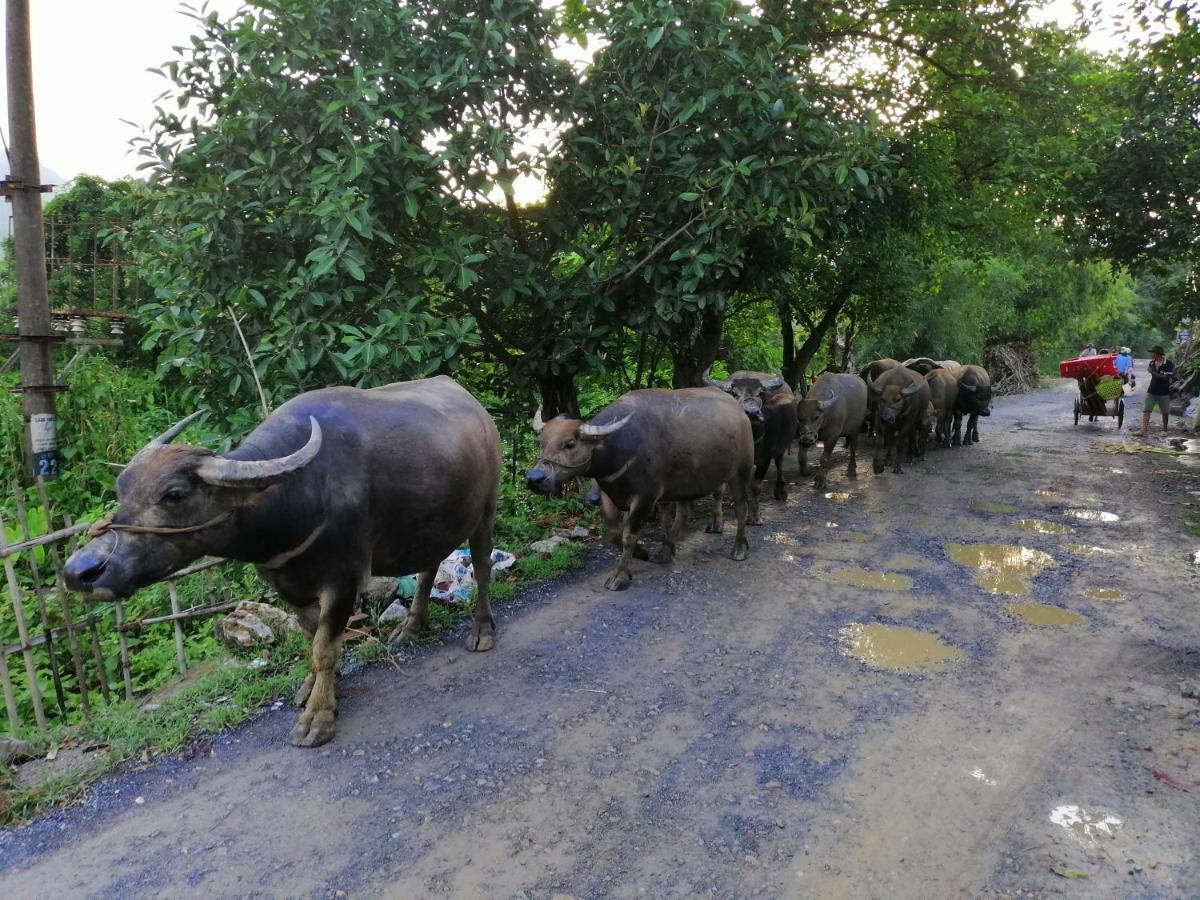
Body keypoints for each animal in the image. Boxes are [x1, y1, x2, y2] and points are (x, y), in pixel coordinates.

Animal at [65, 376, 499, 748]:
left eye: (174, 495)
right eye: (122, 488)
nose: (79, 572)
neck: (295, 496)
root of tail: (476, 407)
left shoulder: (344, 579)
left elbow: (325, 647)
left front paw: (317, 718)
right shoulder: (284, 582)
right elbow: (311, 639)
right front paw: (313, 689)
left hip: (486, 509)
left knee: (480, 565)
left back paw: (482, 631)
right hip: (432, 524)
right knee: (428, 568)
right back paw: (411, 627)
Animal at [525, 388, 748, 592]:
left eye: (570, 444)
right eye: (541, 442)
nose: (534, 479)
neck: (618, 449)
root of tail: (739, 410)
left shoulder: (645, 498)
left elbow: (629, 535)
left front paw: (620, 575)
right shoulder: (609, 494)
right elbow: (614, 533)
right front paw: (643, 553)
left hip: (741, 470)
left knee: (740, 506)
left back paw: (739, 547)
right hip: (683, 485)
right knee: (682, 515)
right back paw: (665, 551)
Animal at [700, 369, 796, 525]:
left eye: (760, 393)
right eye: (734, 393)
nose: (752, 413)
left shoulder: (765, 459)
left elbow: (756, 487)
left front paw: (754, 516)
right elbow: (719, 489)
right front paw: (716, 520)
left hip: (782, 446)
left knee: (779, 463)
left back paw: (781, 490)